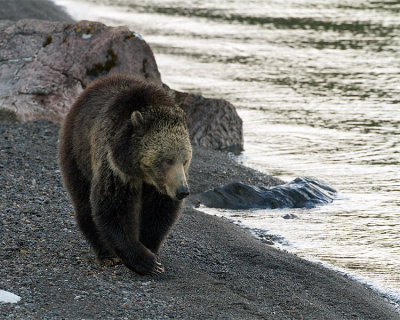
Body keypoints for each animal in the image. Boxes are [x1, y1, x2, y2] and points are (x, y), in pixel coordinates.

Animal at [57, 75, 192, 276]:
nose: (182, 191)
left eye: (185, 160)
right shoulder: (115, 168)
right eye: (168, 160)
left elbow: (159, 212)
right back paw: (106, 255)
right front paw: (146, 261)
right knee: (84, 203)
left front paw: (151, 251)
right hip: (77, 151)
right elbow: (113, 207)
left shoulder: (159, 187)